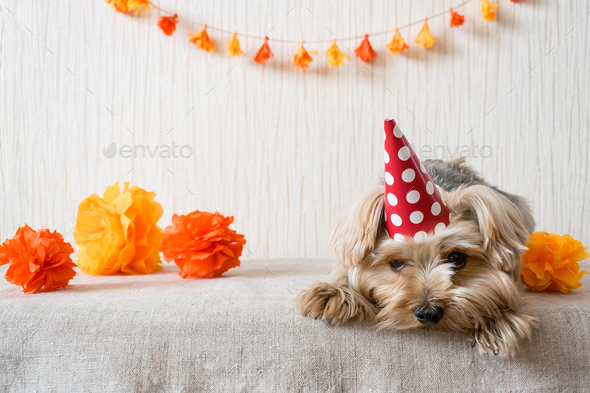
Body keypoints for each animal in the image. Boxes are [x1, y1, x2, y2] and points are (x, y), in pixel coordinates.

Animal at [298, 125, 540, 356]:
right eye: (396, 262)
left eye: (456, 257)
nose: (428, 313)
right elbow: (344, 270)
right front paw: (332, 293)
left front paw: (497, 320)